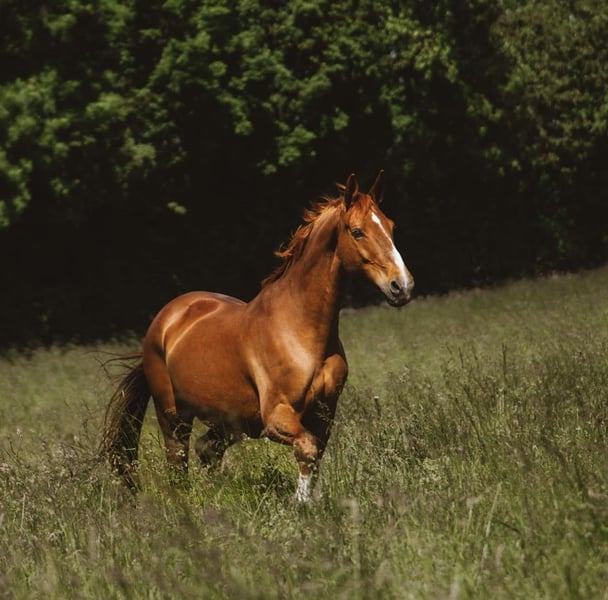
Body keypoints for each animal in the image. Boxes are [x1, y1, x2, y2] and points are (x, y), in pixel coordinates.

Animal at [101, 171, 414, 502]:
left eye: (391, 226)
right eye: (357, 232)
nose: (402, 286)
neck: (301, 331)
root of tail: (164, 321)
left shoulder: (324, 414)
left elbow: (314, 455)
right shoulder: (276, 418)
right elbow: (307, 450)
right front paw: (301, 505)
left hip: (229, 422)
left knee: (207, 450)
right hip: (173, 416)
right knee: (178, 464)